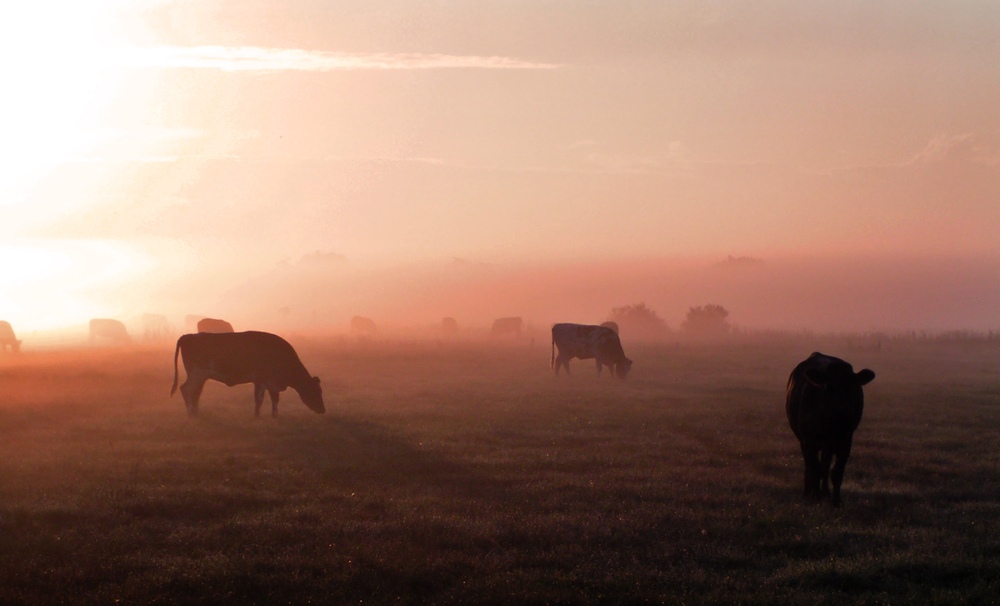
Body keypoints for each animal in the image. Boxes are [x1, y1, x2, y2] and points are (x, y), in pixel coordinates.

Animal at [171, 332, 324, 418]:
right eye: (315, 391)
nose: (323, 409)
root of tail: (188, 336)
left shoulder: (266, 382)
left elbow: (268, 399)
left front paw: (267, 415)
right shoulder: (264, 381)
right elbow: (263, 399)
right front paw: (263, 416)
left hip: (200, 376)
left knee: (196, 392)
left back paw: (196, 412)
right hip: (196, 374)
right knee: (186, 389)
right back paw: (191, 412)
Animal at [788, 352, 876, 508]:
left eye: (852, 387)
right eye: (828, 387)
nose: (843, 410)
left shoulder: (846, 442)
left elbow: (836, 472)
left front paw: (835, 501)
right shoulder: (807, 442)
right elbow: (814, 469)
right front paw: (815, 496)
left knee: (825, 464)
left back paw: (825, 493)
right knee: (811, 466)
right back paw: (809, 492)